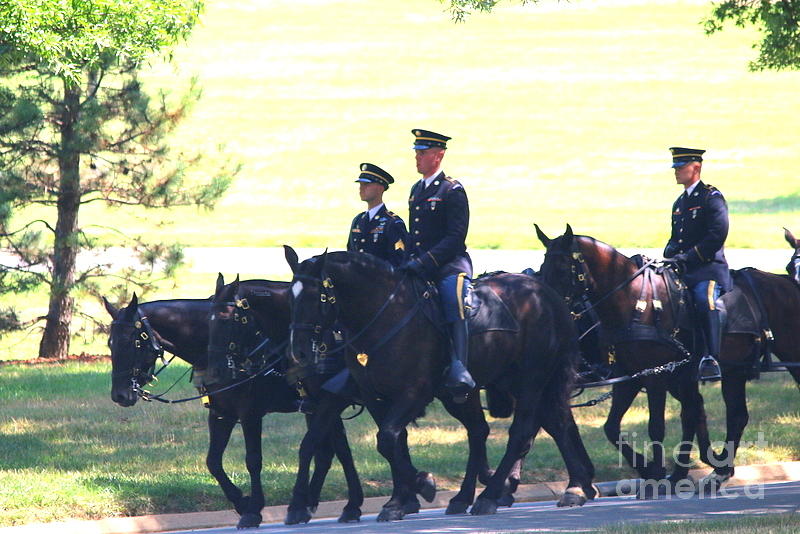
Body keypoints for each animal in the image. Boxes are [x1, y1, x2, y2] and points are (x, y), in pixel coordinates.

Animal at [104, 286, 334, 528]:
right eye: (110, 343)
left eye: (132, 342)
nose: (119, 395)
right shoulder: (221, 414)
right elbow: (213, 461)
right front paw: (241, 501)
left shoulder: (250, 414)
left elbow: (253, 460)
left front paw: (253, 509)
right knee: (325, 452)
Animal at [286, 248, 592, 524]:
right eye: (292, 296)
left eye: (317, 296)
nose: (298, 352)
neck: (384, 315)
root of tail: (545, 292)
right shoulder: (374, 398)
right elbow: (389, 444)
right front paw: (402, 498)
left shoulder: (413, 393)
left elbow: (387, 439)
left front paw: (419, 486)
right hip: (482, 388)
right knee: (524, 426)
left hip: (531, 379)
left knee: (521, 432)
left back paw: (491, 495)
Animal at [536, 223, 708, 494]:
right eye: (543, 268)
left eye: (563, 269)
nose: (551, 311)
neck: (635, 302)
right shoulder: (629, 377)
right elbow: (610, 428)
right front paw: (646, 468)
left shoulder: (655, 375)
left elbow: (655, 427)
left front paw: (655, 474)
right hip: (679, 378)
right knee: (694, 408)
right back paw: (700, 470)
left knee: (694, 410)